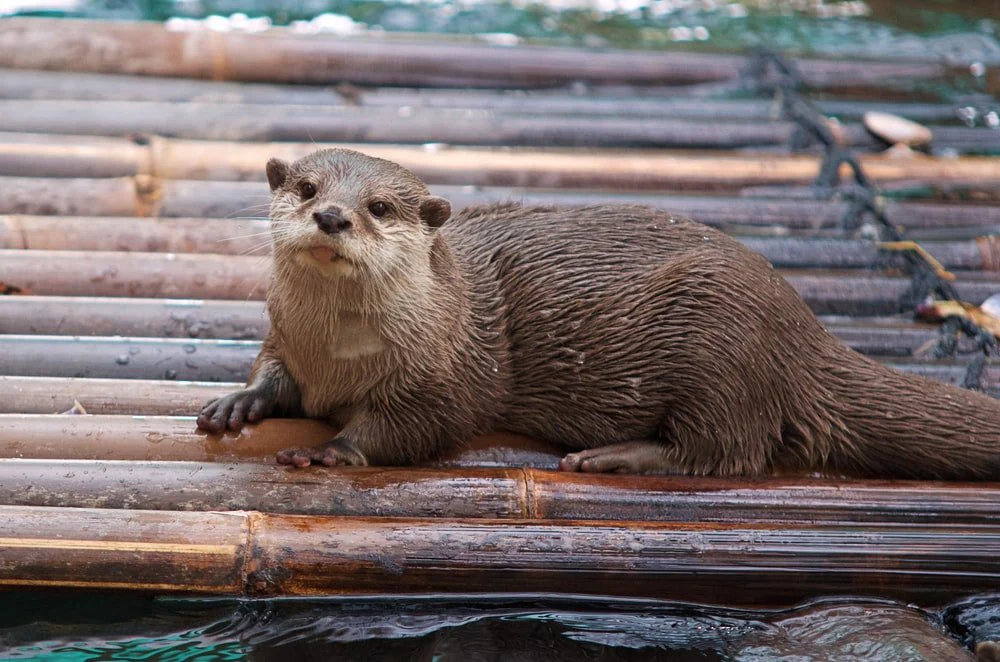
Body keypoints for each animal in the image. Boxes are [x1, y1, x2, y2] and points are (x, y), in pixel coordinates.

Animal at [196, 148, 1000, 480]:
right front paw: (239, 402)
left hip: (721, 335)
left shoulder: (450, 373)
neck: (339, 355)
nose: (332, 215)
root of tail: (803, 329)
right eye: (306, 188)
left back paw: (616, 455)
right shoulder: (286, 337)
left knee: (729, 449)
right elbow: (272, 370)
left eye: (381, 207)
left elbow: (417, 428)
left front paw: (332, 449)